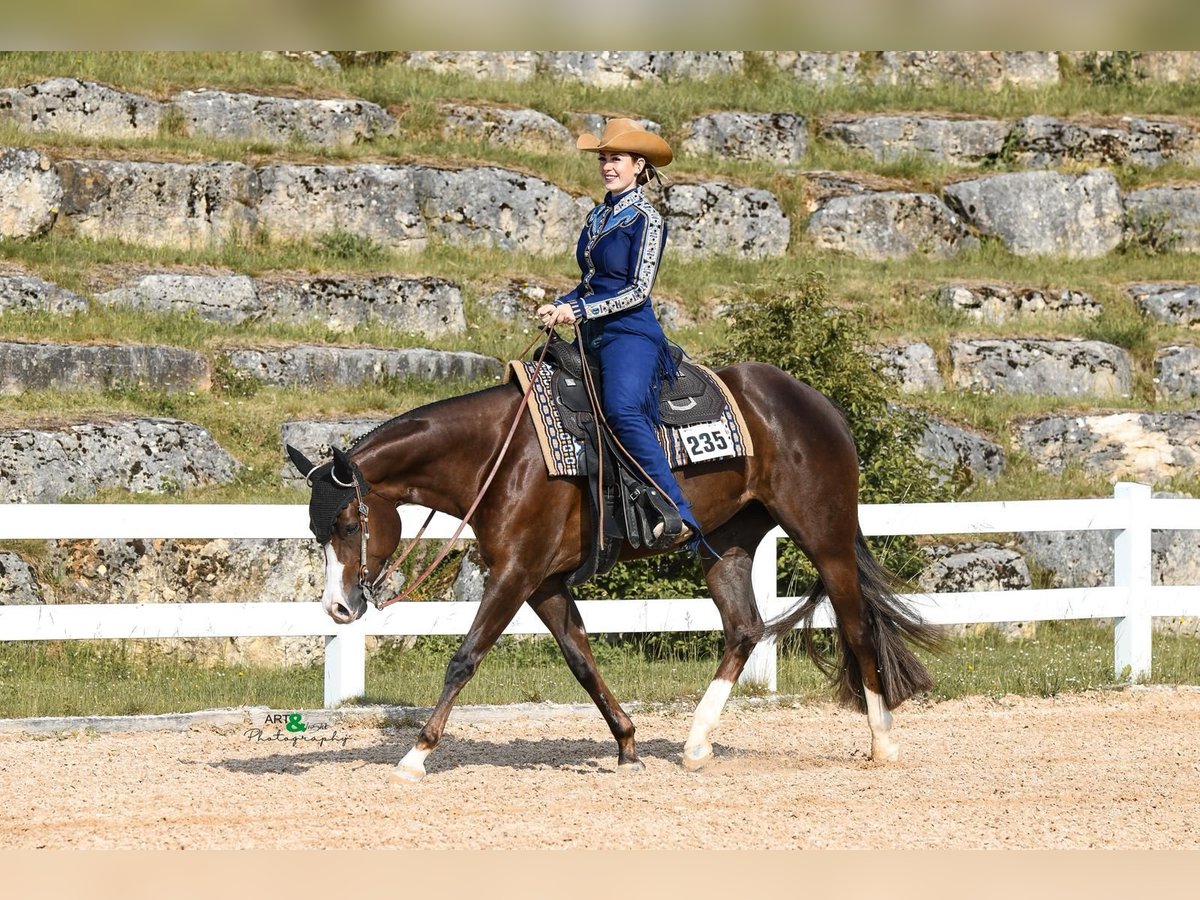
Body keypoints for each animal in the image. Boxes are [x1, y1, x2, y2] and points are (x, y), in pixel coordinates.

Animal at [286, 360, 939, 784]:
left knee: (856, 627)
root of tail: (819, 404)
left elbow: (465, 658)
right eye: (316, 530)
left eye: (347, 523)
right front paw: (626, 745)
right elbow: (581, 659)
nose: (338, 608)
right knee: (744, 630)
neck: (500, 454)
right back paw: (695, 744)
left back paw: (883, 743)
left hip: (824, 540)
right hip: (726, 545)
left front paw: (416, 755)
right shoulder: (543, 583)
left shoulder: (515, 574)